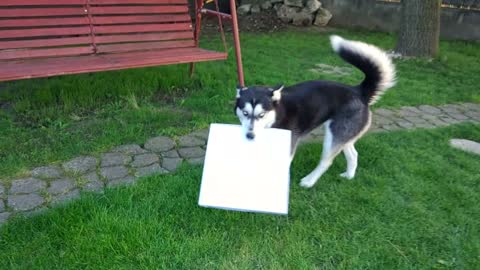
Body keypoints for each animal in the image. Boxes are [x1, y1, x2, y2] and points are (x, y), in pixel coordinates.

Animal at [234, 35, 396, 188]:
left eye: (261, 114)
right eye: (245, 113)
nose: (250, 136)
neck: (276, 115)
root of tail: (358, 91)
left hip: (334, 135)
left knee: (326, 162)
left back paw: (309, 181)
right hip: (344, 135)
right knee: (353, 154)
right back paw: (349, 175)